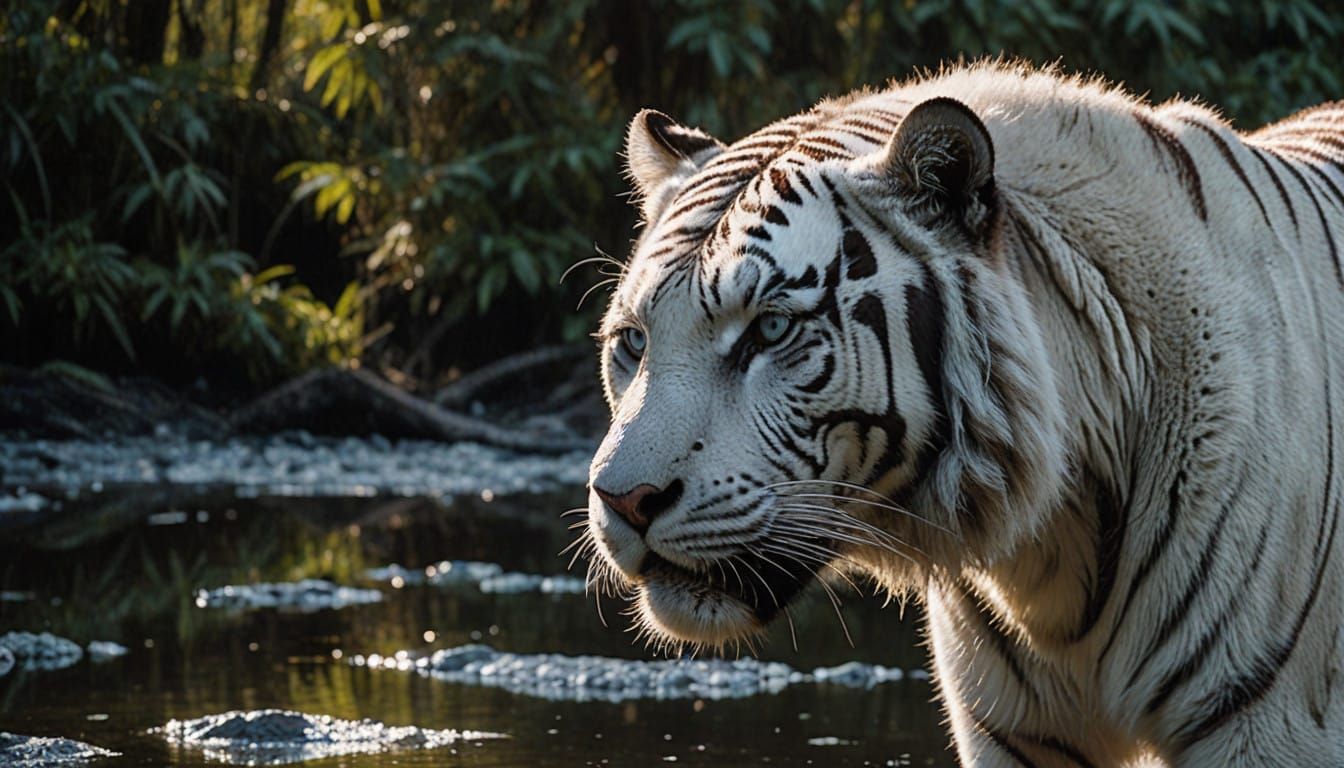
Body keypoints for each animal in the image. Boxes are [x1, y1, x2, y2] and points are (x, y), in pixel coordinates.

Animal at [574, 62, 1344, 766]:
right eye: (634, 342)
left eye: (770, 329)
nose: (624, 500)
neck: (1052, 546)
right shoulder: (1007, 733)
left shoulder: (1262, 729)